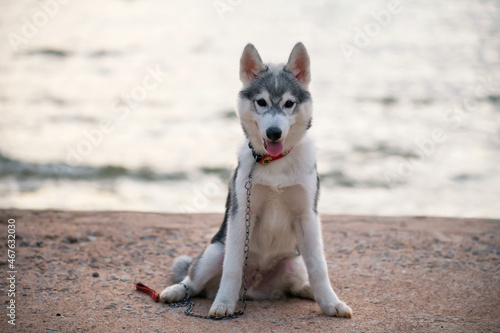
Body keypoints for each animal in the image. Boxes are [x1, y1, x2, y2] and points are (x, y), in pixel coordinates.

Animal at [160, 42, 352, 318]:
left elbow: (318, 268)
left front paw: (330, 303)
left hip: (294, 262)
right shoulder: (241, 213)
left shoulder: (308, 216)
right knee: (193, 281)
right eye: (261, 102)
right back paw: (178, 291)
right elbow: (232, 268)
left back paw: (306, 290)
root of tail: (251, 289)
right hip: (215, 251)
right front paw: (223, 304)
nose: (274, 132)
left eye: (289, 103)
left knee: (295, 284)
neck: (274, 163)